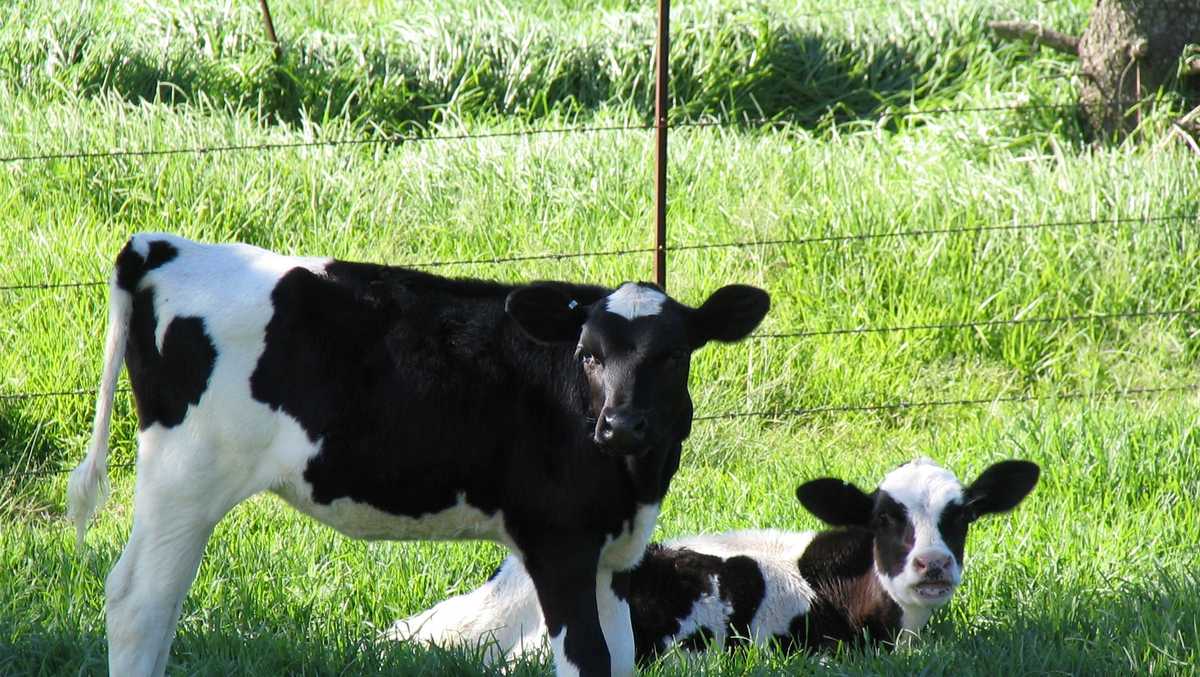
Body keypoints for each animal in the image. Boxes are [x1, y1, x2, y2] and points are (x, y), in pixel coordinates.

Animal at [68, 234, 768, 677]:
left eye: (672, 354)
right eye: (588, 354)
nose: (620, 424)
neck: (633, 480)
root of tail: (163, 248)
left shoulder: (613, 557)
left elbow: (619, 659)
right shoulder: (557, 542)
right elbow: (586, 660)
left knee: (163, 605)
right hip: (184, 477)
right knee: (137, 604)